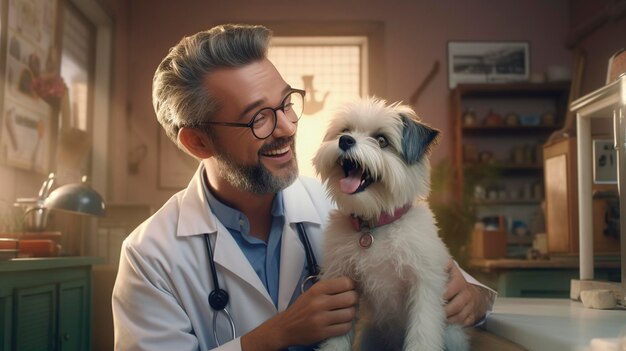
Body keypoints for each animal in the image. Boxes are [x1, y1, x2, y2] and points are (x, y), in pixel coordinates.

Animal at [310, 98, 466, 351]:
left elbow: (423, 334)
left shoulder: (424, 288)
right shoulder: (342, 287)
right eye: (344, 131)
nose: (345, 140)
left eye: (381, 140)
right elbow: (336, 339)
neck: (374, 225)